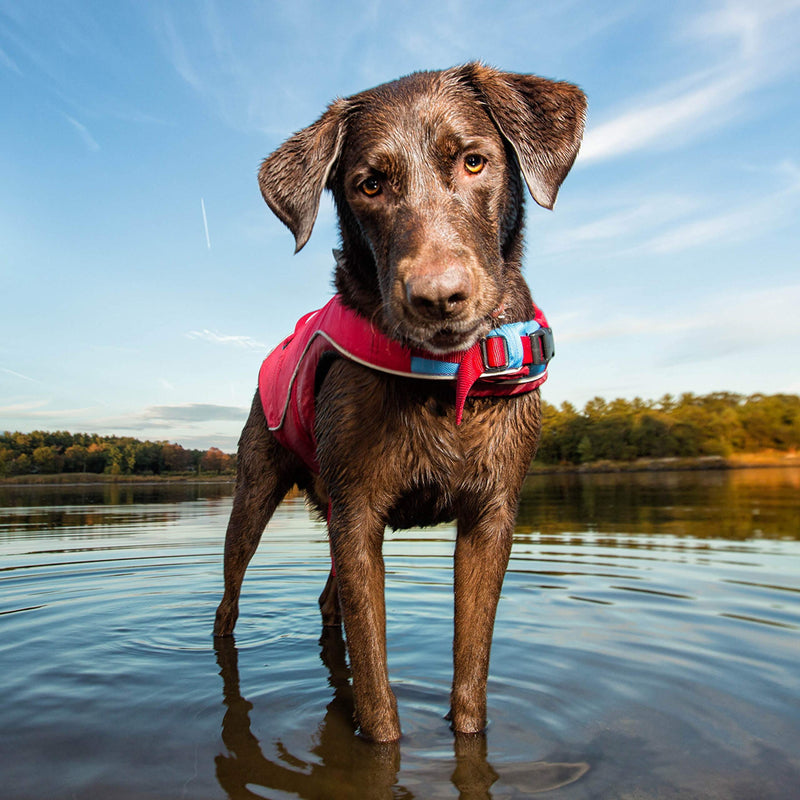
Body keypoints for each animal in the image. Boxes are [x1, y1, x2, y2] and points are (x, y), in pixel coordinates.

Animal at [216, 62, 584, 744]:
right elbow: (376, 694)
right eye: (369, 185)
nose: (438, 297)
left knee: (327, 603)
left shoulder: (491, 517)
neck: (444, 383)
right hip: (256, 493)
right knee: (229, 602)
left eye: (473, 161)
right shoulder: (359, 514)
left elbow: (470, 681)